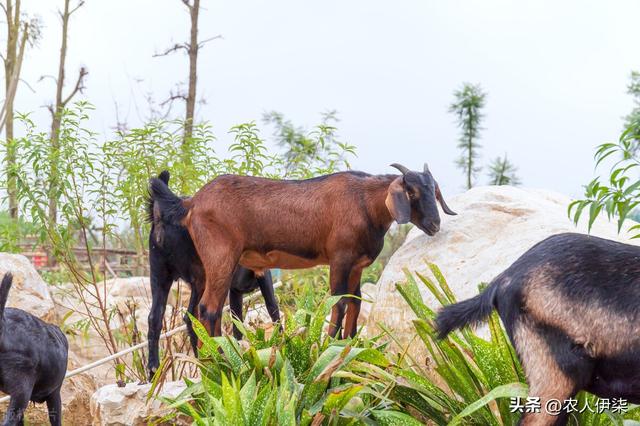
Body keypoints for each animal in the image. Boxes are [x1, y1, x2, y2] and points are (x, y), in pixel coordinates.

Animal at [149, 171, 282, 378]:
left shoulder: (235, 291)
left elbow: (237, 322)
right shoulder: (263, 276)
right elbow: (273, 308)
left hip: (160, 276)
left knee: (156, 317)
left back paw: (155, 370)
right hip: (204, 278)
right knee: (200, 315)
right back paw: (214, 360)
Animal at [150, 163, 456, 340]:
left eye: (434, 191)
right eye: (412, 192)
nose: (434, 224)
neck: (364, 202)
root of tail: (191, 204)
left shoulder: (357, 265)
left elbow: (354, 302)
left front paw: (348, 345)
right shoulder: (340, 258)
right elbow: (338, 302)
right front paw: (329, 345)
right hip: (220, 257)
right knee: (208, 309)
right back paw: (220, 359)